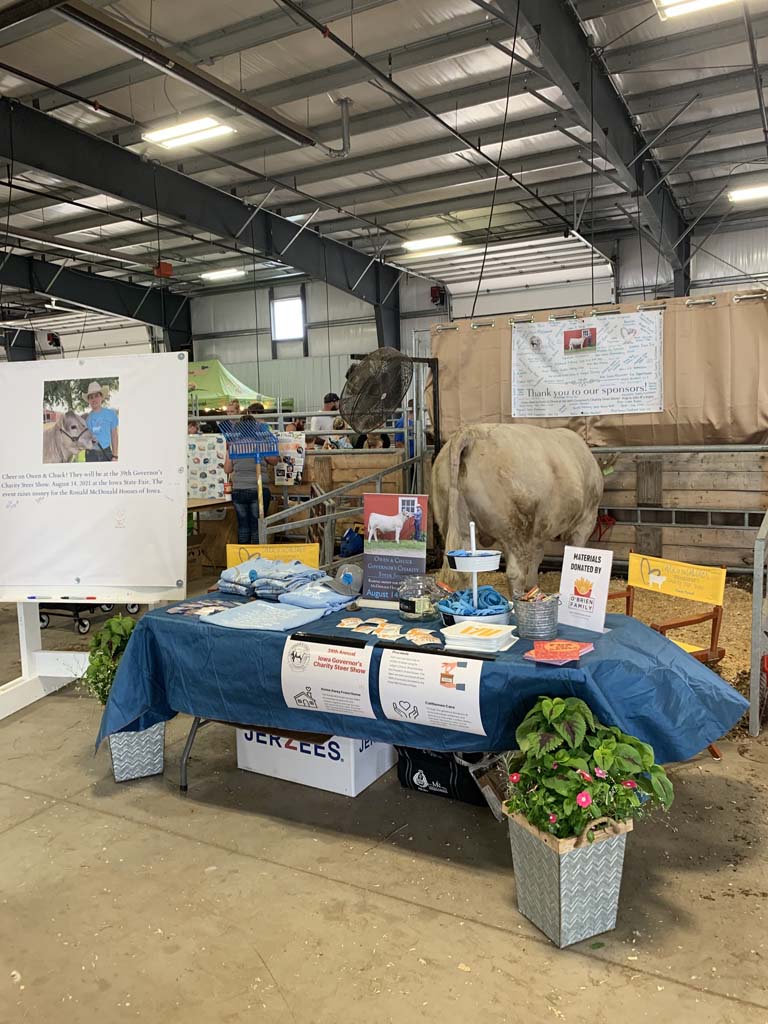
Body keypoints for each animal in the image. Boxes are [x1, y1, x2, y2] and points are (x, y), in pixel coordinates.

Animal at [432, 424, 604, 596]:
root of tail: (471, 432)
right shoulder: (585, 521)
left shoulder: (540, 528)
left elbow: (537, 556)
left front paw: (533, 586)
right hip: (513, 528)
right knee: (515, 573)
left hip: (458, 524)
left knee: (466, 571)